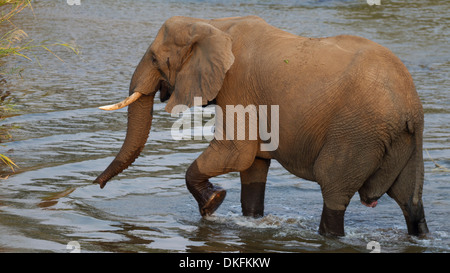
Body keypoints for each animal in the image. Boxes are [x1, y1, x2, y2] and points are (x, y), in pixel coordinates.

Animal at [95, 15, 428, 236]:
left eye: (154, 59)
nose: (97, 185)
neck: (212, 24)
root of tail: (410, 106)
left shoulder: (237, 85)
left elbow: (236, 151)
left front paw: (213, 203)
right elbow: (253, 164)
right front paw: (248, 218)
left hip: (357, 134)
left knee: (333, 190)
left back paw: (329, 235)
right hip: (402, 141)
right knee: (409, 199)